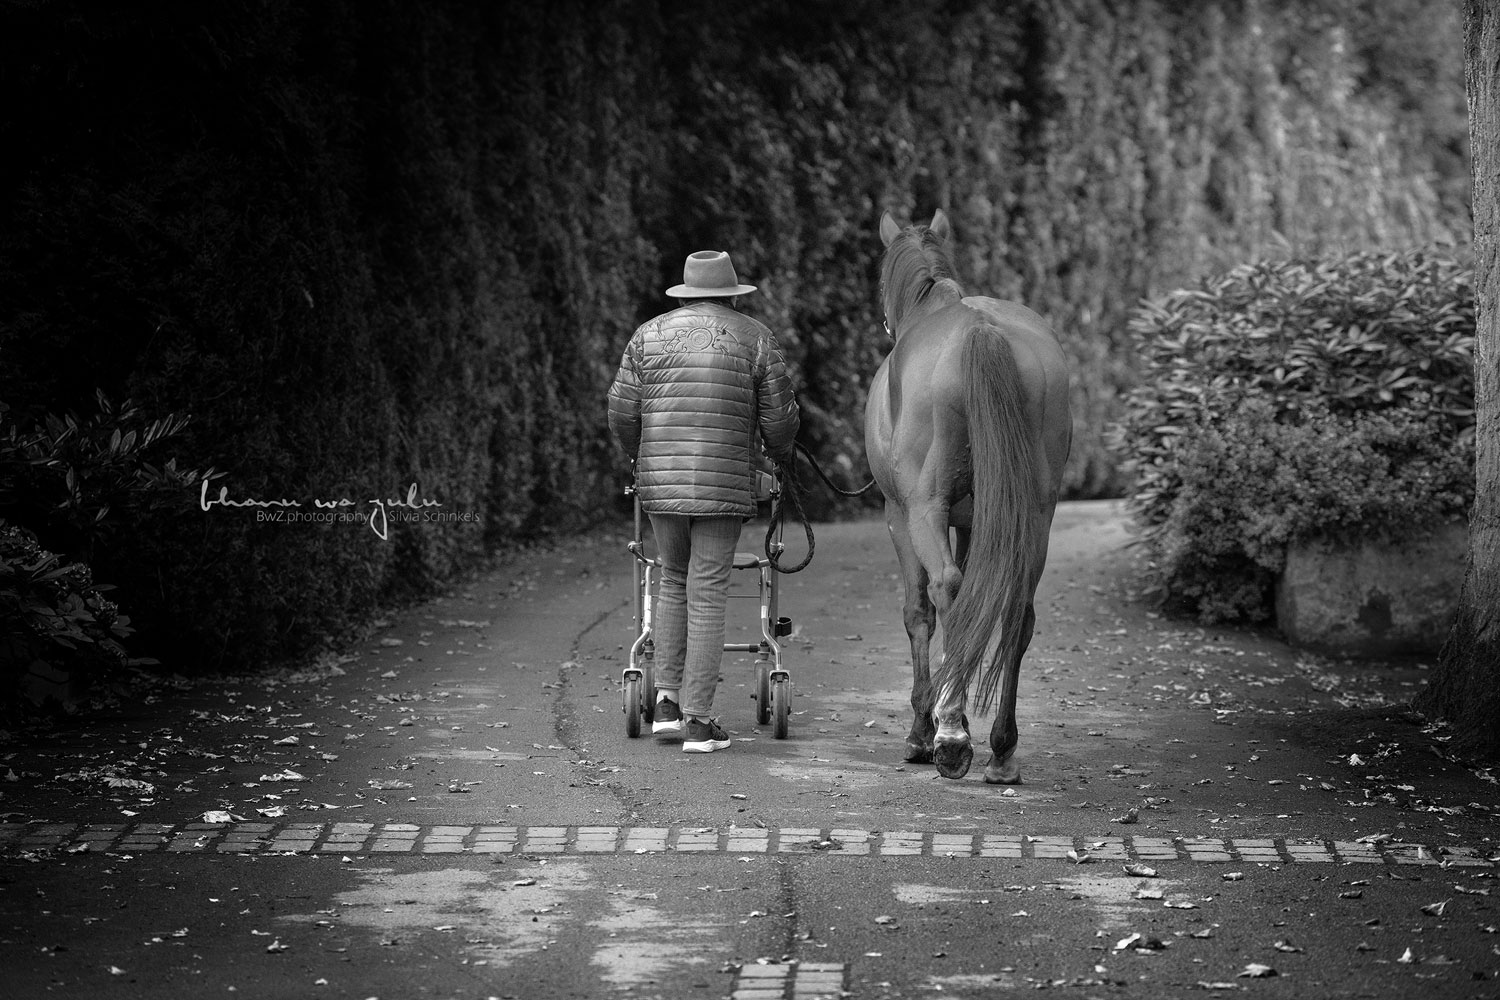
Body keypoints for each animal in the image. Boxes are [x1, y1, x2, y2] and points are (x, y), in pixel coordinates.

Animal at [864, 209, 1074, 779]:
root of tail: (981, 329)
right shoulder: (975, 521)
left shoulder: (899, 515)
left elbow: (919, 611)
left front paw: (922, 729)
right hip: (1033, 513)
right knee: (1016, 607)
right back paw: (1001, 749)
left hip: (923, 509)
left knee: (947, 588)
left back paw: (951, 737)